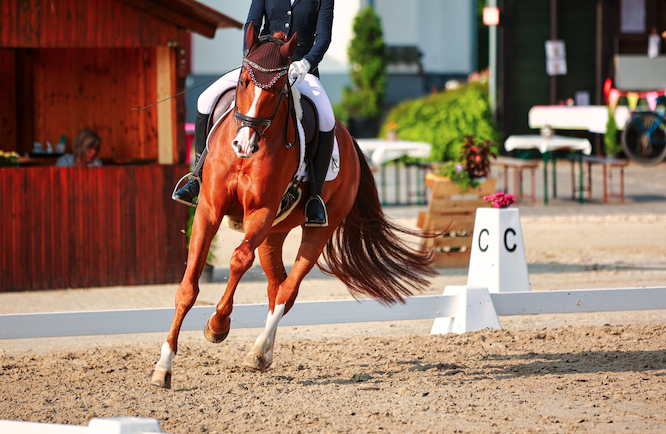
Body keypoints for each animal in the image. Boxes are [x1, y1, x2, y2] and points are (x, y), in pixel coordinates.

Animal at [147, 25, 434, 388]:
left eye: (277, 89)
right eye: (244, 81)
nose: (243, 145)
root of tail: (350, 140)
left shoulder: (261, 212)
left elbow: (239, 260)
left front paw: (218, 325)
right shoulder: (209, 210)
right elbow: (187, 286)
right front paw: (163, 366)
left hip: (316, 229)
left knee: (288, 288)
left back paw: (257, 351)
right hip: (274, 233)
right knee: (276, 285)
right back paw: (263, 354)